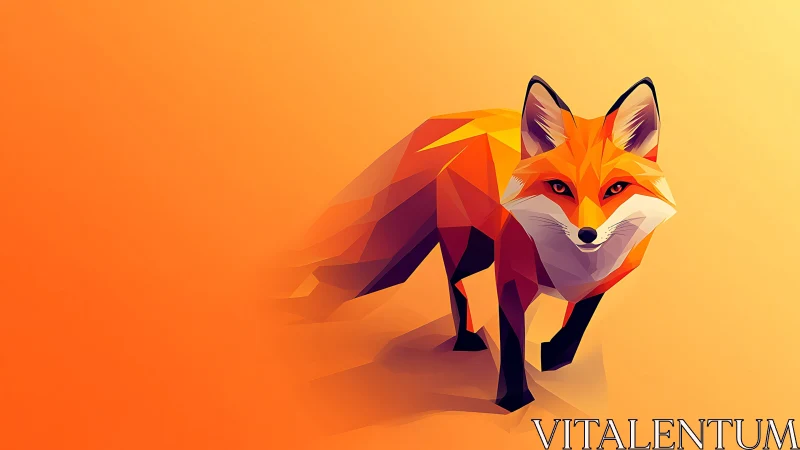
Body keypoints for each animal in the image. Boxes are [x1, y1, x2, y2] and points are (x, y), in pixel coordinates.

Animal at [281, 76, 676, 412]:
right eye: (559, 187)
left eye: (615, 188)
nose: (588, 234)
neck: (575, 265)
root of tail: (462, 117)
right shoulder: (511, 279)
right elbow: (514, 342)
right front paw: (513, 400)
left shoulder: (606, 280)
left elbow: (577, 322)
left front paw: (554, 356)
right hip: (472, 252)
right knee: (453, 280)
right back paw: (465, 338)